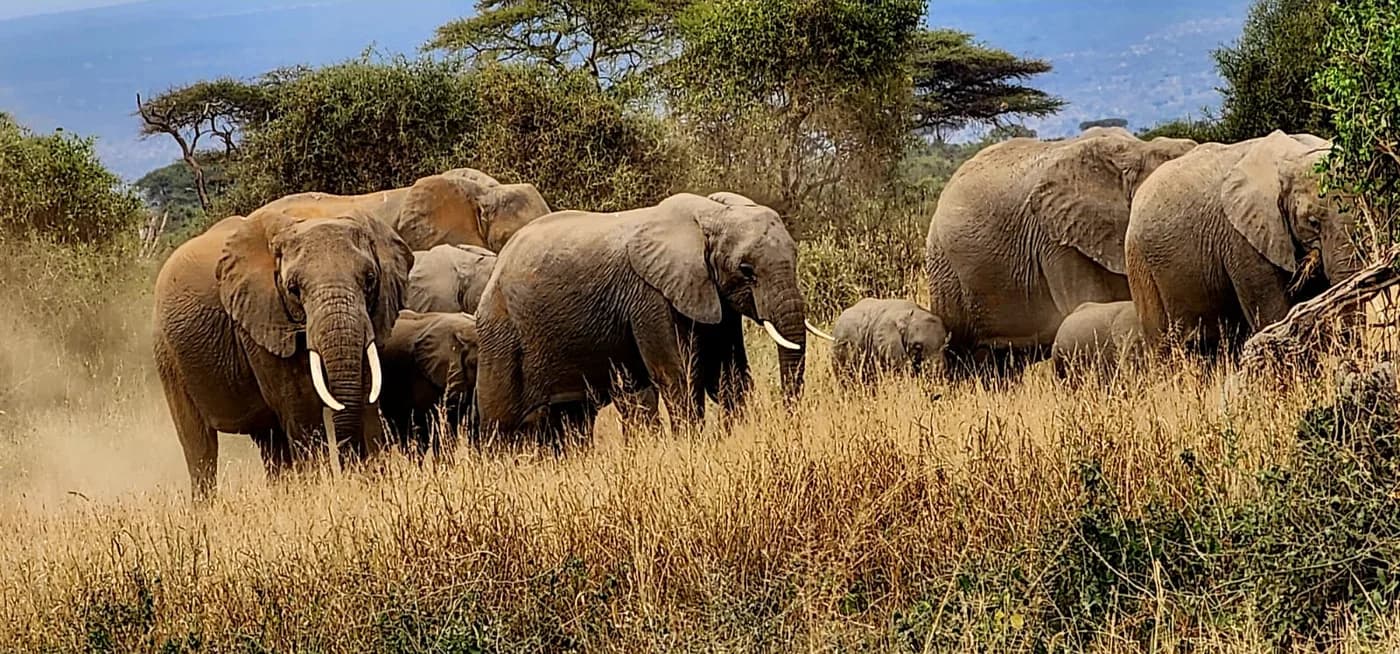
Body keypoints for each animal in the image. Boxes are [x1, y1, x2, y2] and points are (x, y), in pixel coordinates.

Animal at [153, 209, 414, 499]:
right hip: (168, 357)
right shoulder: (261, 319)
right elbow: (302, 409)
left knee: (269, 440)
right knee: (199, 446)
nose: (350, 468)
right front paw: (318, 493)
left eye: (370, 279)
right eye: (293, 289)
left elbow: (367, 393)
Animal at [474, 192, 815, 443]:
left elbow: (729, 375)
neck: (712, 214)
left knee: (572, 416)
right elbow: (677, 375)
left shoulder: (716, 299)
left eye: (796, 256)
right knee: (500, 419)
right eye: (747, 270)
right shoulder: (650, 297)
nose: (788, 423)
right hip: (501, 329)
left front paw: (735, 438)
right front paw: (692, 446)